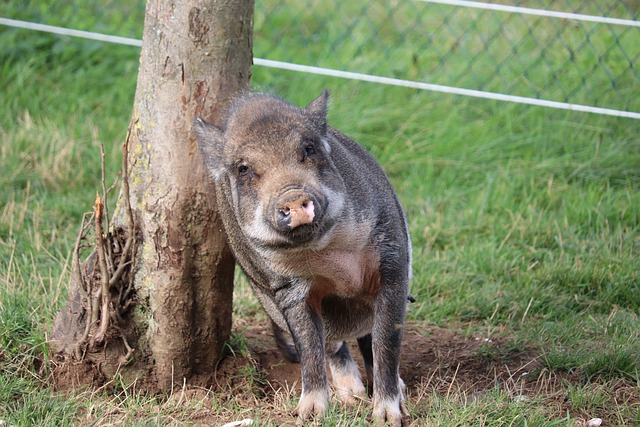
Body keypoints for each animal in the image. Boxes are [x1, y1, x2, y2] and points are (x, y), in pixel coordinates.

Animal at [195, 89, 412, 424]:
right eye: (243, 168)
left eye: (308, 148)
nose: (293, 196)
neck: (332, 264)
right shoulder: (287, 292)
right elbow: (309, 346)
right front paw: (310, 416)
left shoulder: (393, 262)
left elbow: (386, 341)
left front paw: (388, 418)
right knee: (332, 344)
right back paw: (351, 396)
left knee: (366, 338)